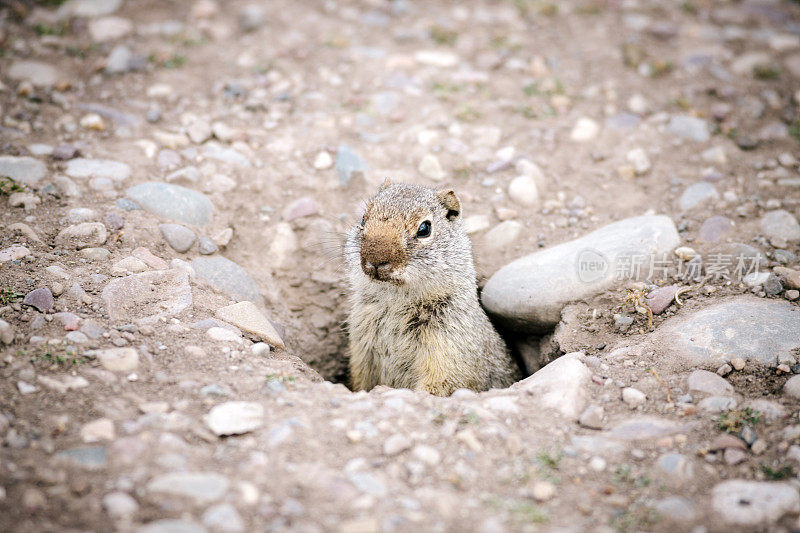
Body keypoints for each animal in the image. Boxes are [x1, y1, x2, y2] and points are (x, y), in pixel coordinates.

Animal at [346, 181, 520, 392]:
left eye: (424, 228)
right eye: (364, 218)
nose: (375, 260)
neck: (396, 301)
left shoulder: (448, 346)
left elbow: (439, 384)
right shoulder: (361, 347)